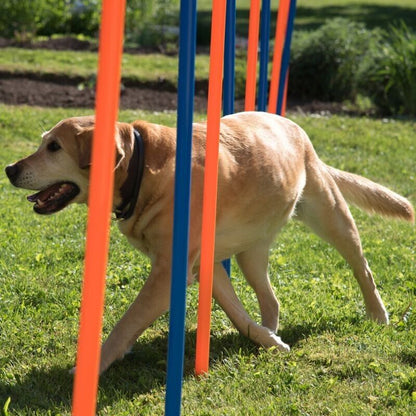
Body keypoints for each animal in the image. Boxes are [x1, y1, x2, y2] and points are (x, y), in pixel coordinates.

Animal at [4, 110, 412, 374]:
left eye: (54, 147)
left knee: (363, 269)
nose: (8, 169)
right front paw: (268, 341)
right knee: (271, 299)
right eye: (43, 144)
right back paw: (272, 326)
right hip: (251, 253)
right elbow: (238, 314)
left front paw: (91, 367)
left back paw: (378, 314)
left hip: (332, 217)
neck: (143, 169)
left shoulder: (169, 274)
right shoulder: (207, 265)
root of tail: (292, 123)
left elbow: (125, 323)